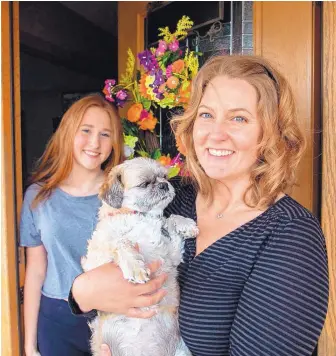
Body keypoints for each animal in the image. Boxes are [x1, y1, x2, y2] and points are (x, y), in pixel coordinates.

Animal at [81, 157, 198, 356]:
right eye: (144, 184)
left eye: (165, 177)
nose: (164, 185)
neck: (141, 217)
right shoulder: (96, 261)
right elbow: (121, 242)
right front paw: (135, 267)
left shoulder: (171, 255)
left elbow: (171, 219)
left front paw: (186, 224)